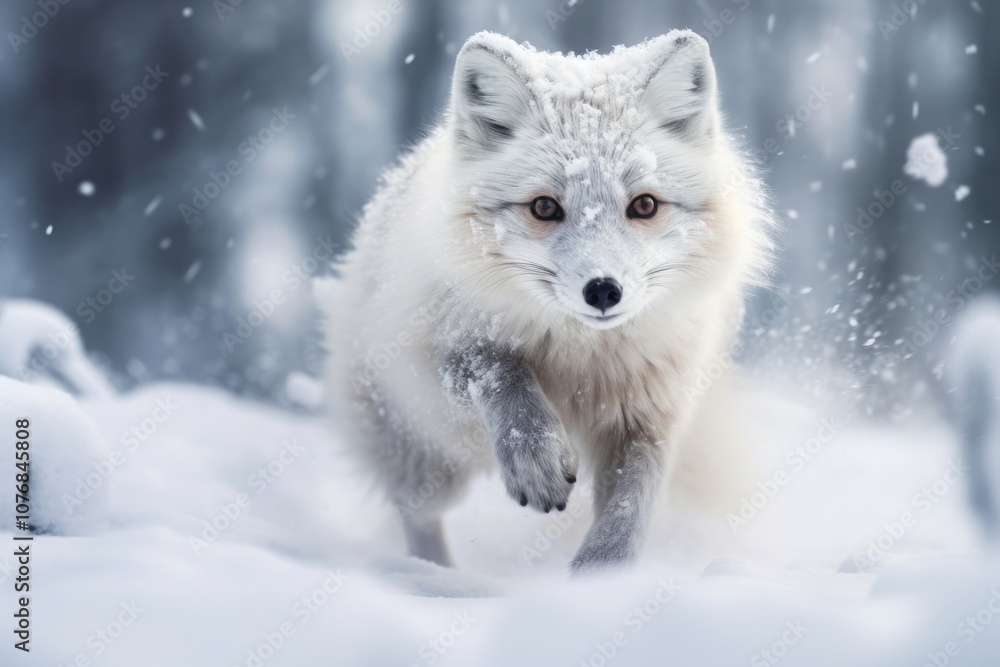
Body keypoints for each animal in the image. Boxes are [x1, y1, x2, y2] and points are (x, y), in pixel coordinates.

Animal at [316, 30, 774, 573]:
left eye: (644, 205)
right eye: (544, 207)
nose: (603, 290)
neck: (583, 361)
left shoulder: (653, 413)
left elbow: (630, 511)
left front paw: (598, 580)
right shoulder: (428, 354)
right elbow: (500, 371)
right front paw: (535, 457)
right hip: (425, 454)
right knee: (417, 513)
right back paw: (434, 574)